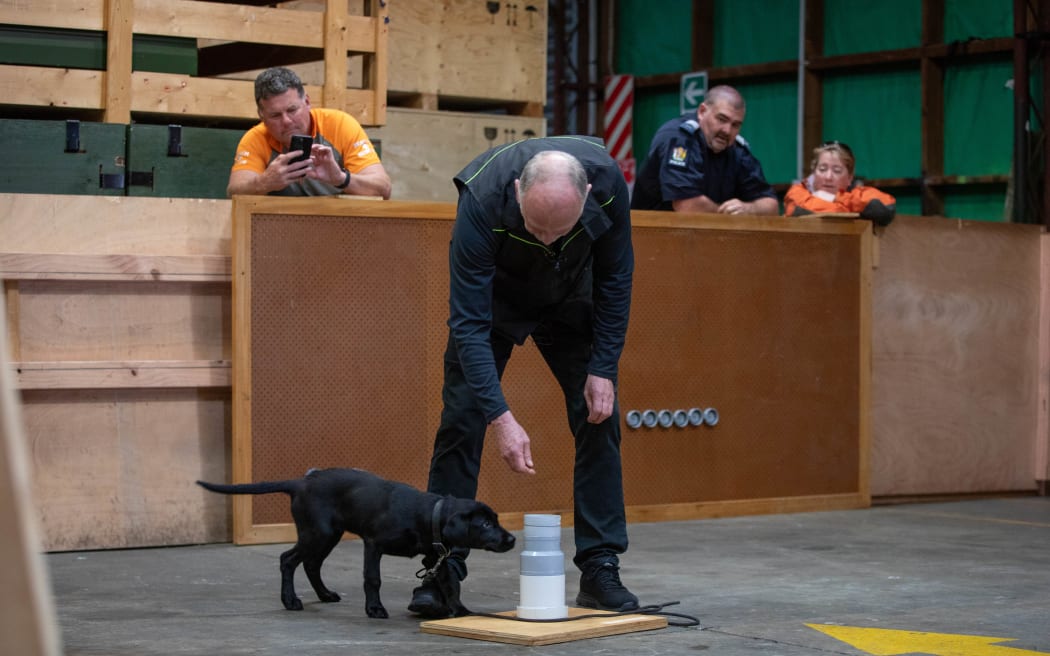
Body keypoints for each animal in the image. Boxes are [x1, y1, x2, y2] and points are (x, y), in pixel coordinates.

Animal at [197, 468, 516, 617]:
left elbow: (448, 581)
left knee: (311, 564)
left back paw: (324, 594)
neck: (428, 513)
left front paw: (461, 612)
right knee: (288, 560)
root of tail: (300, 483)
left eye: (496, 520)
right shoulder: (373, 544)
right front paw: (374, 609)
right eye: (486, 525)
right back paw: (290, 601)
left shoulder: (433, 554)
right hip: (317, 533)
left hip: (328, 535)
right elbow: (372, 579)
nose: (512, 539)